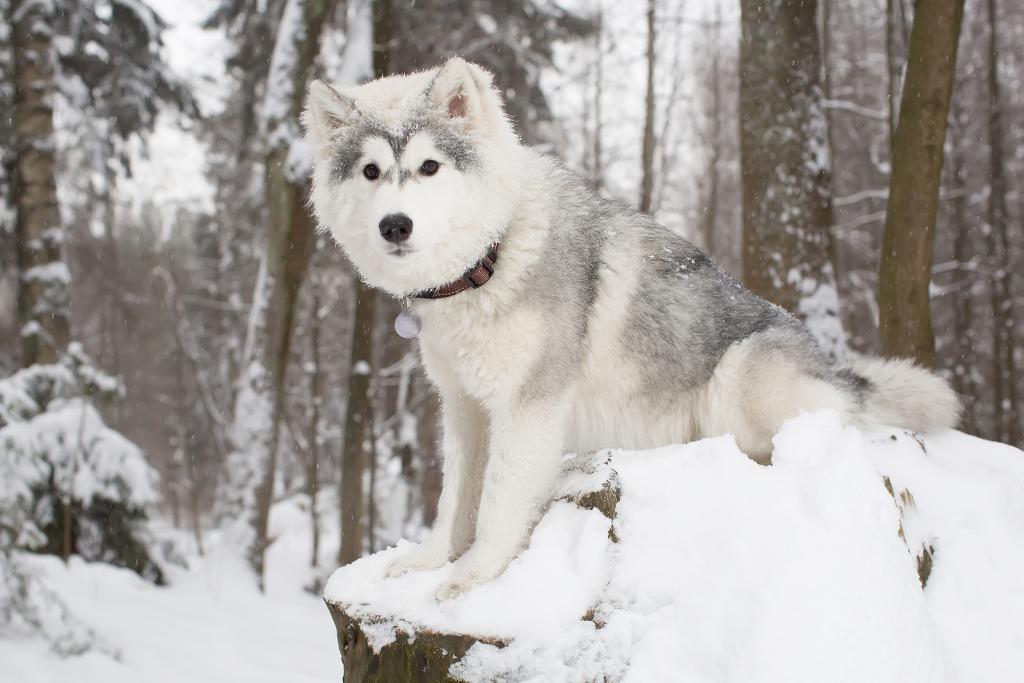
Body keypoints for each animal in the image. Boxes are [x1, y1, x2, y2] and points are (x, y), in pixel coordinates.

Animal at [301, 56, 958, 598]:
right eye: (370, 172)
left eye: (429, 167)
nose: (395, 225)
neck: (491, 259)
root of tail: (838, 371)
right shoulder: (464, 406)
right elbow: (455, 498)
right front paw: (430, 561)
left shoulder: (527, 407)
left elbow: (498, 502)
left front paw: (475, 577)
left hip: (738, 376)